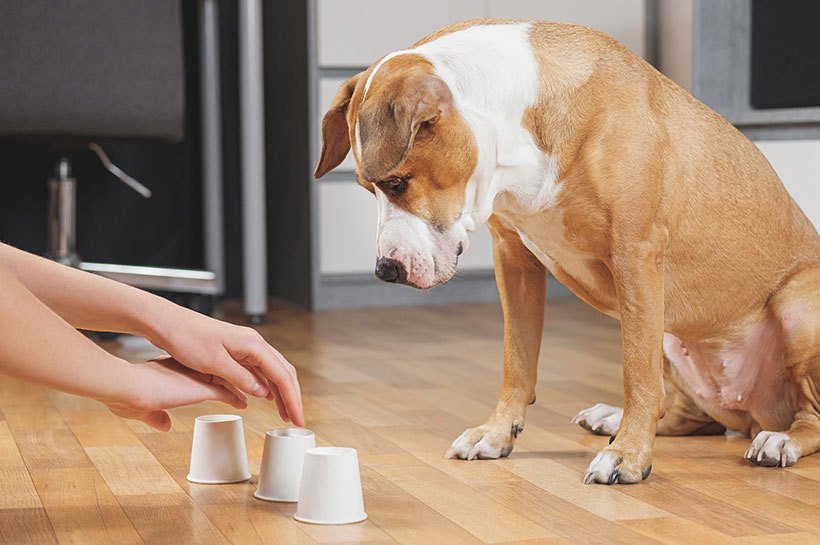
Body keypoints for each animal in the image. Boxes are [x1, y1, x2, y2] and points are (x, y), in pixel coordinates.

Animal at [314, 19, 820, 482]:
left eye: (396, 182)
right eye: (367, 187)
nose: (385, 270)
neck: (519, 123)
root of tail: (753, 414)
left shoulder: (636, 258)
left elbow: (637, 373)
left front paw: (628, 457)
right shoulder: (512, 257)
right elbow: (516, 360)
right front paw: (496, 433)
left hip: (795, 309)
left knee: (807, 417)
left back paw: (780, 441)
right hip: (672, 331)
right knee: (689, 413)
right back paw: (612, 419)